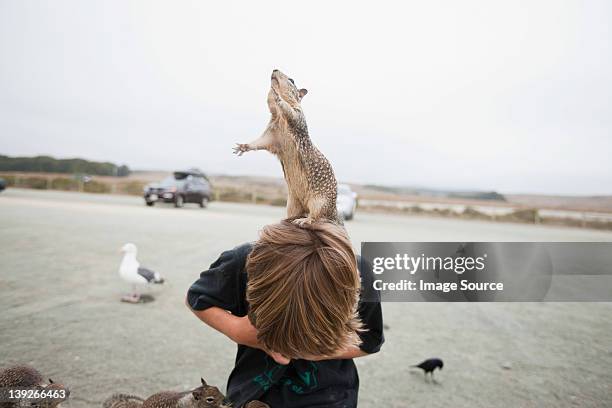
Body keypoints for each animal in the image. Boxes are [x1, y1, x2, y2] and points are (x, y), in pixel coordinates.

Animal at [233, 68, 340, 225]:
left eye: (292, 80)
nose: (274, 69)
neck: (279, 116)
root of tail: (334, 212)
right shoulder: (272, 134)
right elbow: (260, 142)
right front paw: (243, 146)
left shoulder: (298, 116)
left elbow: (289, 111)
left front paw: (277, 95)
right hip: (292, 202)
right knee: (296, 213)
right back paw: (286, 219)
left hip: (319, 202)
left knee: (317, 216)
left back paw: (305, 220)